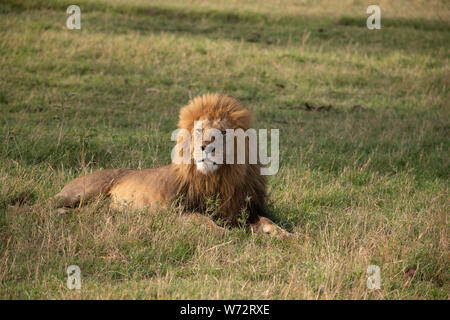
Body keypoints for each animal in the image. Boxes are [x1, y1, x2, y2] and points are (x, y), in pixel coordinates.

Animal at [53, 92, 292, 238]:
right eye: (199, 130)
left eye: (223, 132)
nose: (205, 147)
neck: (217, 180)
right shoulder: (175, 212)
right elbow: (201, 220)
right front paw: (223, 233)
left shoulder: (244, 210)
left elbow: (267, 220)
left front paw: (285, 234)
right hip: (83, 191)